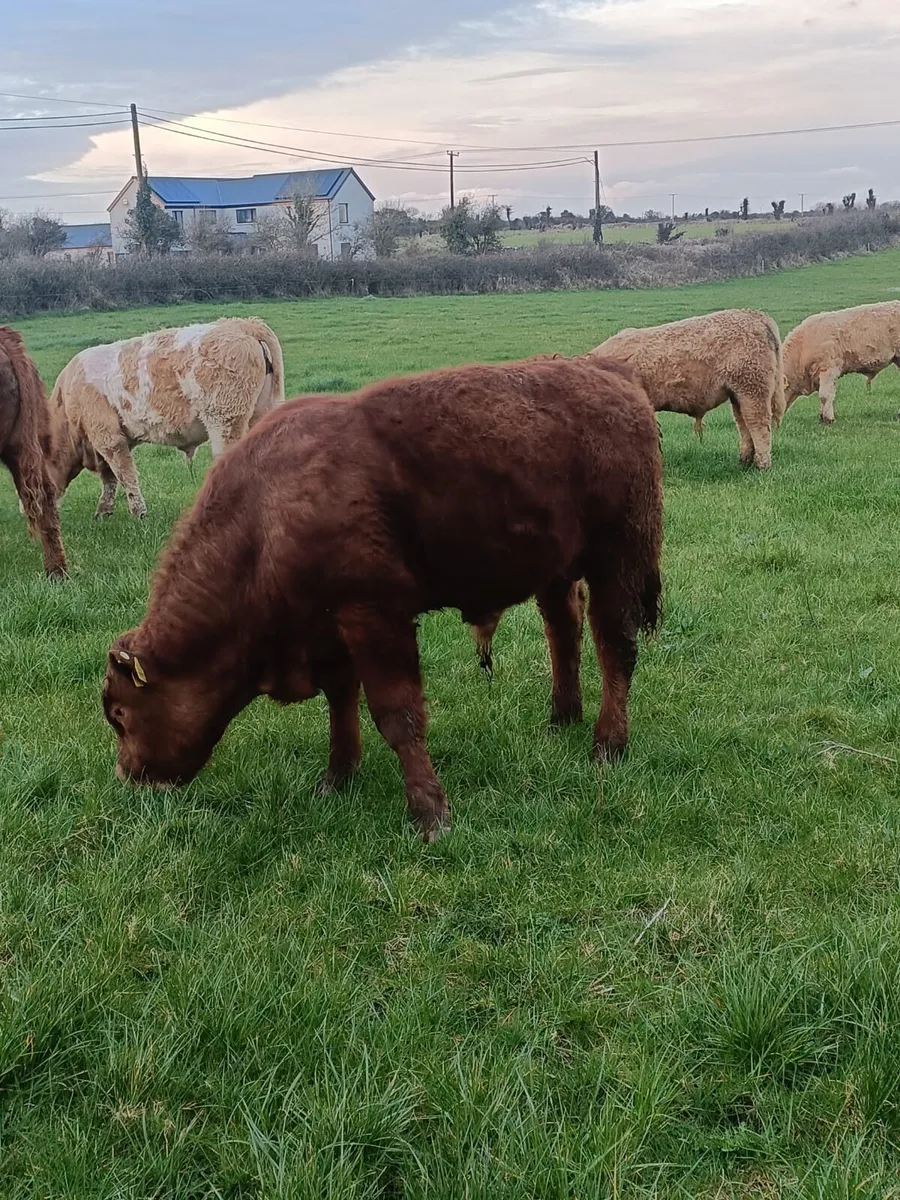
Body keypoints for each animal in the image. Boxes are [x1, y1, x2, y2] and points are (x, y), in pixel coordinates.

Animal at [46, 317, 284, 518]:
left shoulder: (108, 438)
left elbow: (125, 475)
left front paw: (138, 514)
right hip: (262, 414)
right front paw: (104, 513)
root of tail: (242, 324)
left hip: (225, 421)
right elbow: (110, 478)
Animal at [103, 356, 663, 841]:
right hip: (555, 570)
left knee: (615, 646)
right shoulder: (327, 633)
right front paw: (337, 777)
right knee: (564, 632)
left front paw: (429, 812)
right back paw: (561, 717)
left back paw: (608, 743)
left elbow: (397, 715)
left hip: (618, 559)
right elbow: (340, 701)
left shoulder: (375, 619)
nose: (129, 775)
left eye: (120, 715)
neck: (265, 517)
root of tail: (611, 372)